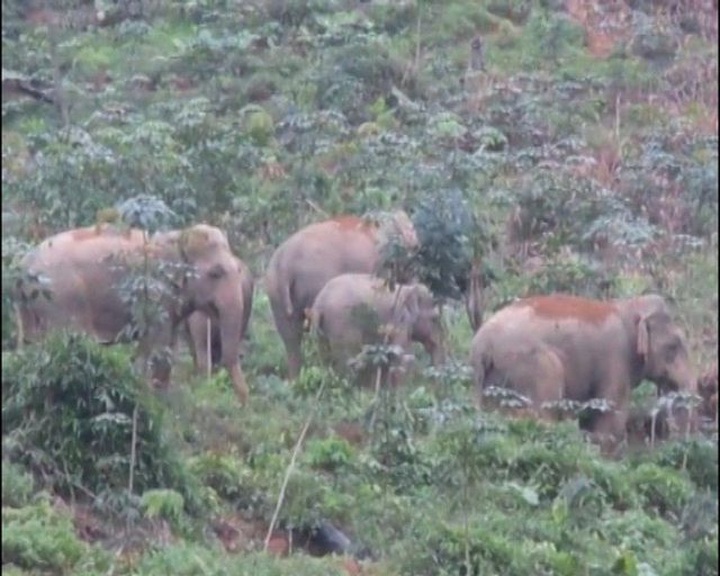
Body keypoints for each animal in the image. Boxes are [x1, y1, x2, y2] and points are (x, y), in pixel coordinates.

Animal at [15, 223, 250, 403]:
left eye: (239, 270)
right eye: (216, 273)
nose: (243, 401)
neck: (178, 236)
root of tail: (25, 265)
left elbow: (166, 344)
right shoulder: (155, 293)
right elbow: (158, 342)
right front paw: (153, 397)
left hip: (29, 305)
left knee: (28, 343)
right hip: (62, 297)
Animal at [264, 211, 419, 380]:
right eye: (414, 247)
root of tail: (284, 264)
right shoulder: (380, 265)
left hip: (276, 293)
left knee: (291, 338)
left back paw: (296, 379)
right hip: (313, 282)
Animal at [309, 273, 445, 386]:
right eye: (435, 319)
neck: (407, 288)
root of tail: (319, 304)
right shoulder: (400, 321)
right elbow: (399, 355)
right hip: (342, 325)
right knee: (349, 361)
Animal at [469, 293, 696, 443]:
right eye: (673, 346)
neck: (629, 306)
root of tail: (482, 345)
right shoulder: (615, 358)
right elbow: (610, 417)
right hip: (533, 366)